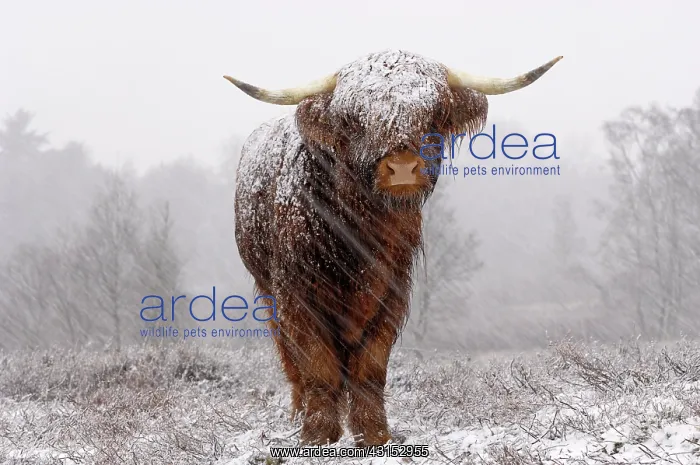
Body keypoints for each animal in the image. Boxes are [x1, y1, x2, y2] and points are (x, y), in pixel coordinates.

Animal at [224, 50, 561, 446]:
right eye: (353, 118)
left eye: (435, 112)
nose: (402, 168)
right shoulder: (296, 293)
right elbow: (317, 364)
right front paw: (318, 435)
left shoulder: (392, 290)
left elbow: (370, 365)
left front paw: (374, 434)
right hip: (266, 289)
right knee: (291, 361)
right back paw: (297, 415)